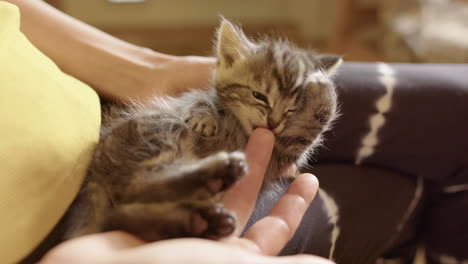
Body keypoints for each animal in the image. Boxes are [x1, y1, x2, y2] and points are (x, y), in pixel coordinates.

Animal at [64, 18, 340, 245]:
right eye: (259, 96)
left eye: (291, 109)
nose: (272, 123)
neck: (242, 129)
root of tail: (96, 170)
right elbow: (198, 98)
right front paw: (204, 116)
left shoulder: (284, 151)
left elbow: (309, 128)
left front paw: (320, 86)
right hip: (160, 130)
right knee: (137, 185)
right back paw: (217, 175)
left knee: (124, 212)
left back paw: (201, 222)